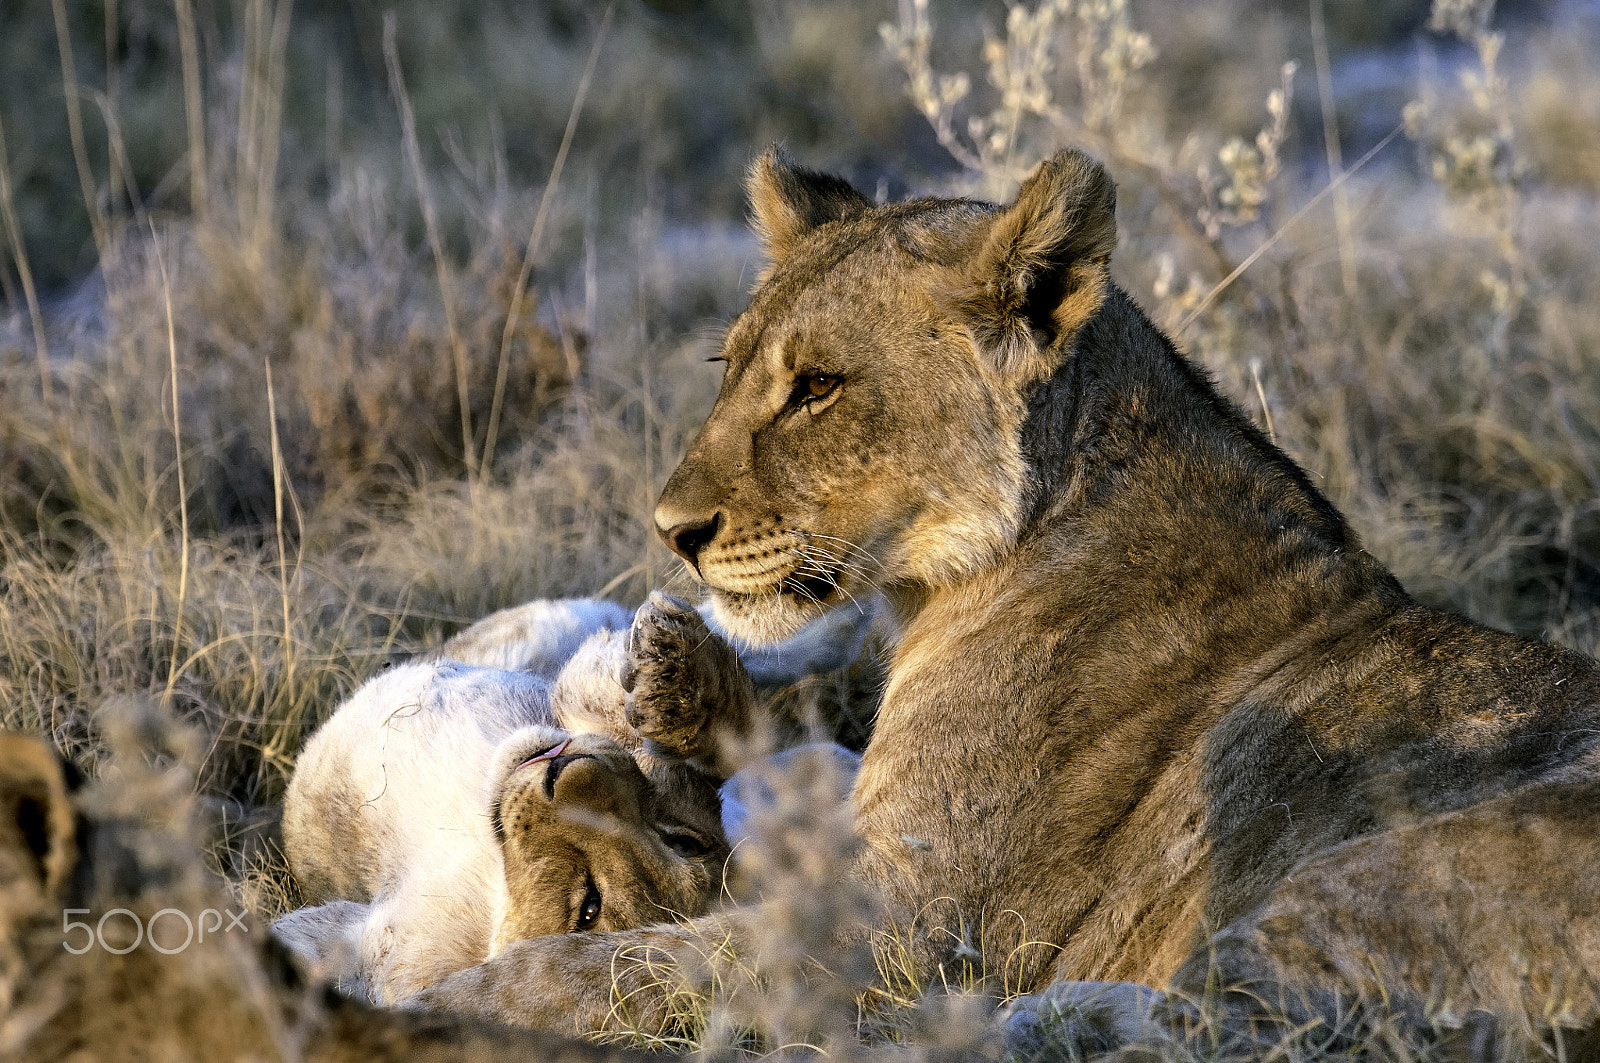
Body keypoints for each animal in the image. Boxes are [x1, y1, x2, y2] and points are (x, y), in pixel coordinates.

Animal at [405, 148, 1600, 1056]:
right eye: (729, 365)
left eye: (817, 387)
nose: (672, 532)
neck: (948, 581)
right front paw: (669, 676)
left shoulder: (903, 921)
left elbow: (617, 962)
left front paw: (442, 1002)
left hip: (1349, 879)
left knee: (1242, 1026)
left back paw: (1024, 1020)